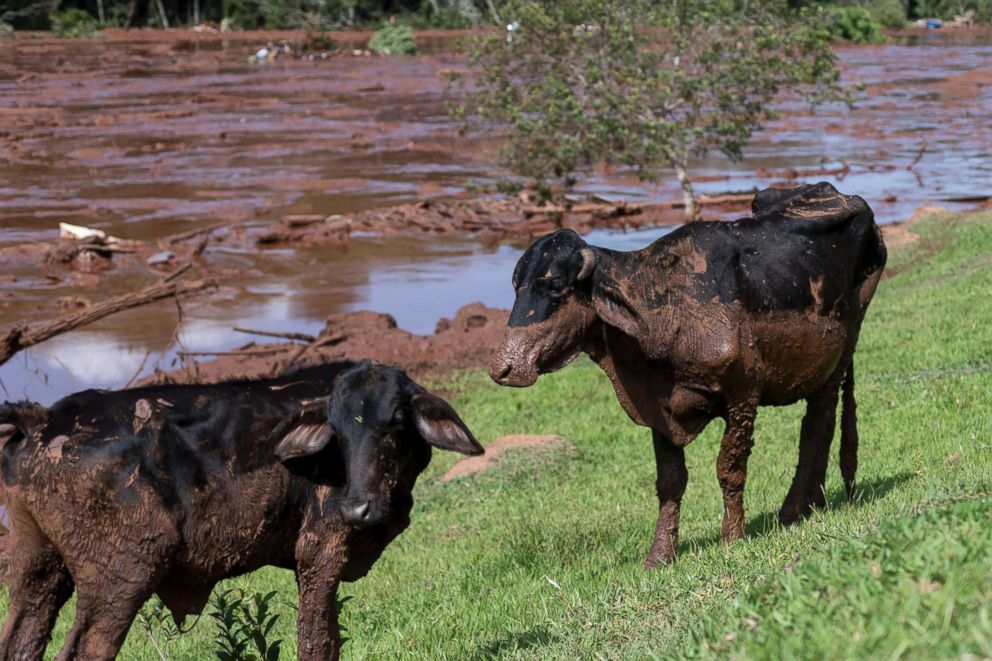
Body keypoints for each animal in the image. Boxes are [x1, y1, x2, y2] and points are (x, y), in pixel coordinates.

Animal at [0, 360, 482, 660]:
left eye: (396, 420)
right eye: (338, 429)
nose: (357, 508)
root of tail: (42, 419)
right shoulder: (321, 550)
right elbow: (318, 642)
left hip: (36, 567)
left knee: (19, 641)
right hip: (119, 578)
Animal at [492, 182, 888, 568]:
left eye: (556, 287)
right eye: (516, 286)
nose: (503, 367)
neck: (667, 311)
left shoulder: (743, 396)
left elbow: (729, 468)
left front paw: (733, 537)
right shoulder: (658, 412)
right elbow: (670, 482)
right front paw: (660, 555)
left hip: (844, 347)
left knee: (818, 424)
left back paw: (794, 509)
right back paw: (810, 504)